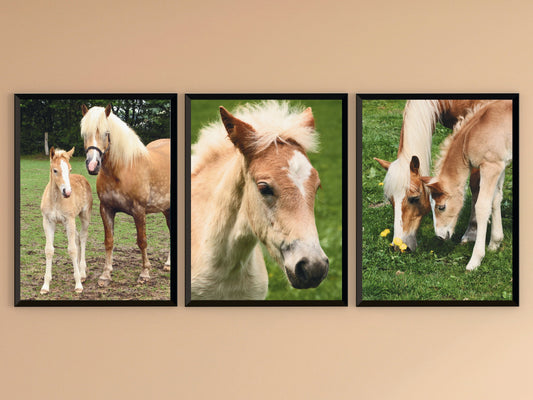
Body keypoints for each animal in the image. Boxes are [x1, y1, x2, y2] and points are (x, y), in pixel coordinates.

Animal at [40, 147, 92, 294]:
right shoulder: (48, 222)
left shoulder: (69, 220)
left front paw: (78, 285)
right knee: (78, 237)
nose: (67, 192)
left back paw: (82, 273)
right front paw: (45, 286)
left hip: (84, 216)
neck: (56, 199)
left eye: (70, 169)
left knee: (83, 237)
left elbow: (72, 250)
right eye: (55, 170)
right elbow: (49, 250)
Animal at [80, 104, 170, 286]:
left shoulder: (139, 210)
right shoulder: (106, 209)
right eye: (85, 134)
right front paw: (105, 275)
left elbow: (142, 241)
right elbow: (109, 241)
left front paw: (144, 273)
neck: (122, 169)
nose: (93, 165)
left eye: (106, 133)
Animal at [420, 100, 512, 270]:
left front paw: (475, 260)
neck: (471, 136)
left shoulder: (490, 166)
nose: (440, 236)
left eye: (441, 207)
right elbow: (496, 199)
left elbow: (482, 206)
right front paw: (495, 243)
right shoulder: (501, 164)